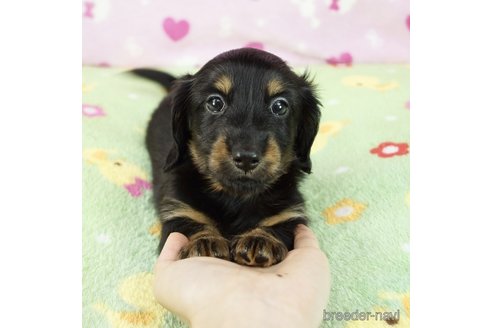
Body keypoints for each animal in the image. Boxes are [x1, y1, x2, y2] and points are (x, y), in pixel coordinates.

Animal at [133, 47, 320, 266]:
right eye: (215, 102)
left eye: (280, 106)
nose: (246, 158)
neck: (234, 196)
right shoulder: (179, 212)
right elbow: (193, 226)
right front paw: (205, 241)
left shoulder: (290, 215)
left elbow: (278, 227)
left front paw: (261, 239)